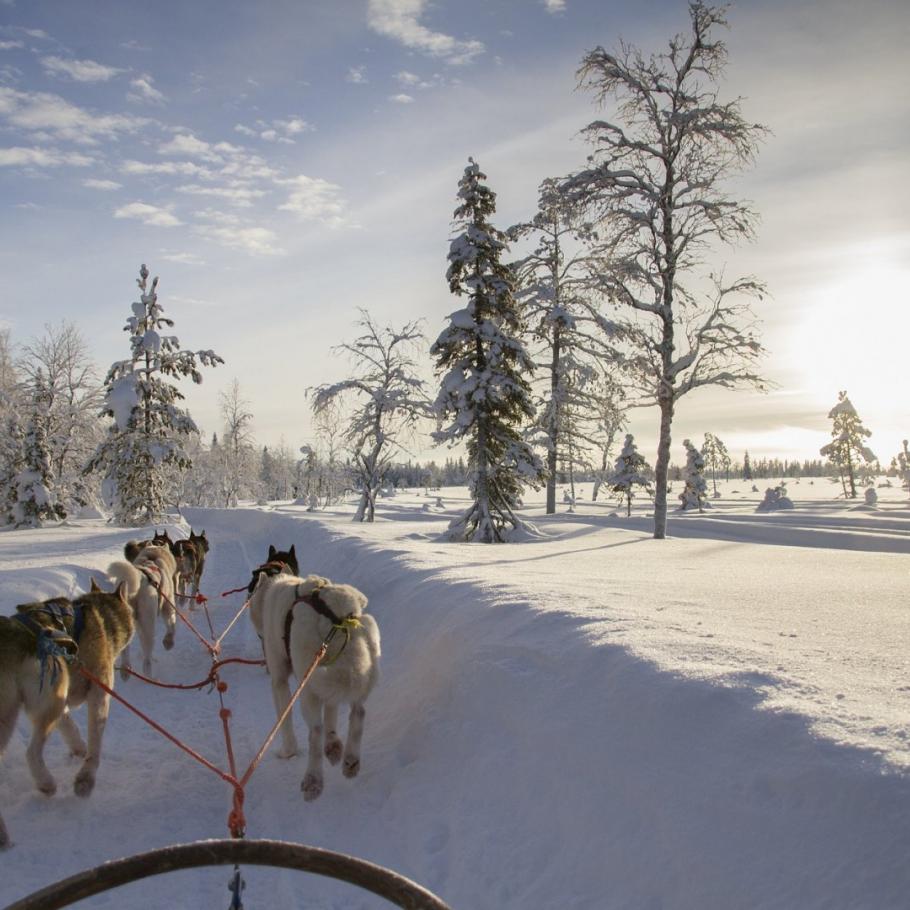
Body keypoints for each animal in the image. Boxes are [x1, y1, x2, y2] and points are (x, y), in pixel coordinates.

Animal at [0, 580, 134, 852]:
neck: (97, 616)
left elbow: (70, 726)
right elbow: (95, 744)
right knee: (32, 752)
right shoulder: (99, 692)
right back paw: (46, 783)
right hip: (46, 698)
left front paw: (77, 749)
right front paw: (85, 780)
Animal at [108, 544, 178, 680]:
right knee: (147, 657)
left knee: (125, 650)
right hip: (148, 624)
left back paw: (125, 668)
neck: (153, 557)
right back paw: (149, 676)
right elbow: (171, 625)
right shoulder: (168, 605)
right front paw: (168, 642)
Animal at [248, 568, 380, 804]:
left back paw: (313, 780)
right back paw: (350, 760)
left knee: (315, 732)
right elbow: (332, 714)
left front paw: (288, 752)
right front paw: (333, 745)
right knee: (358, 713)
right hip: (358, 669)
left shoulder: (279, 680)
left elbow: (285, 720)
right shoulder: (328, 691)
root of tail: (340, 619)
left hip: (307, 685)